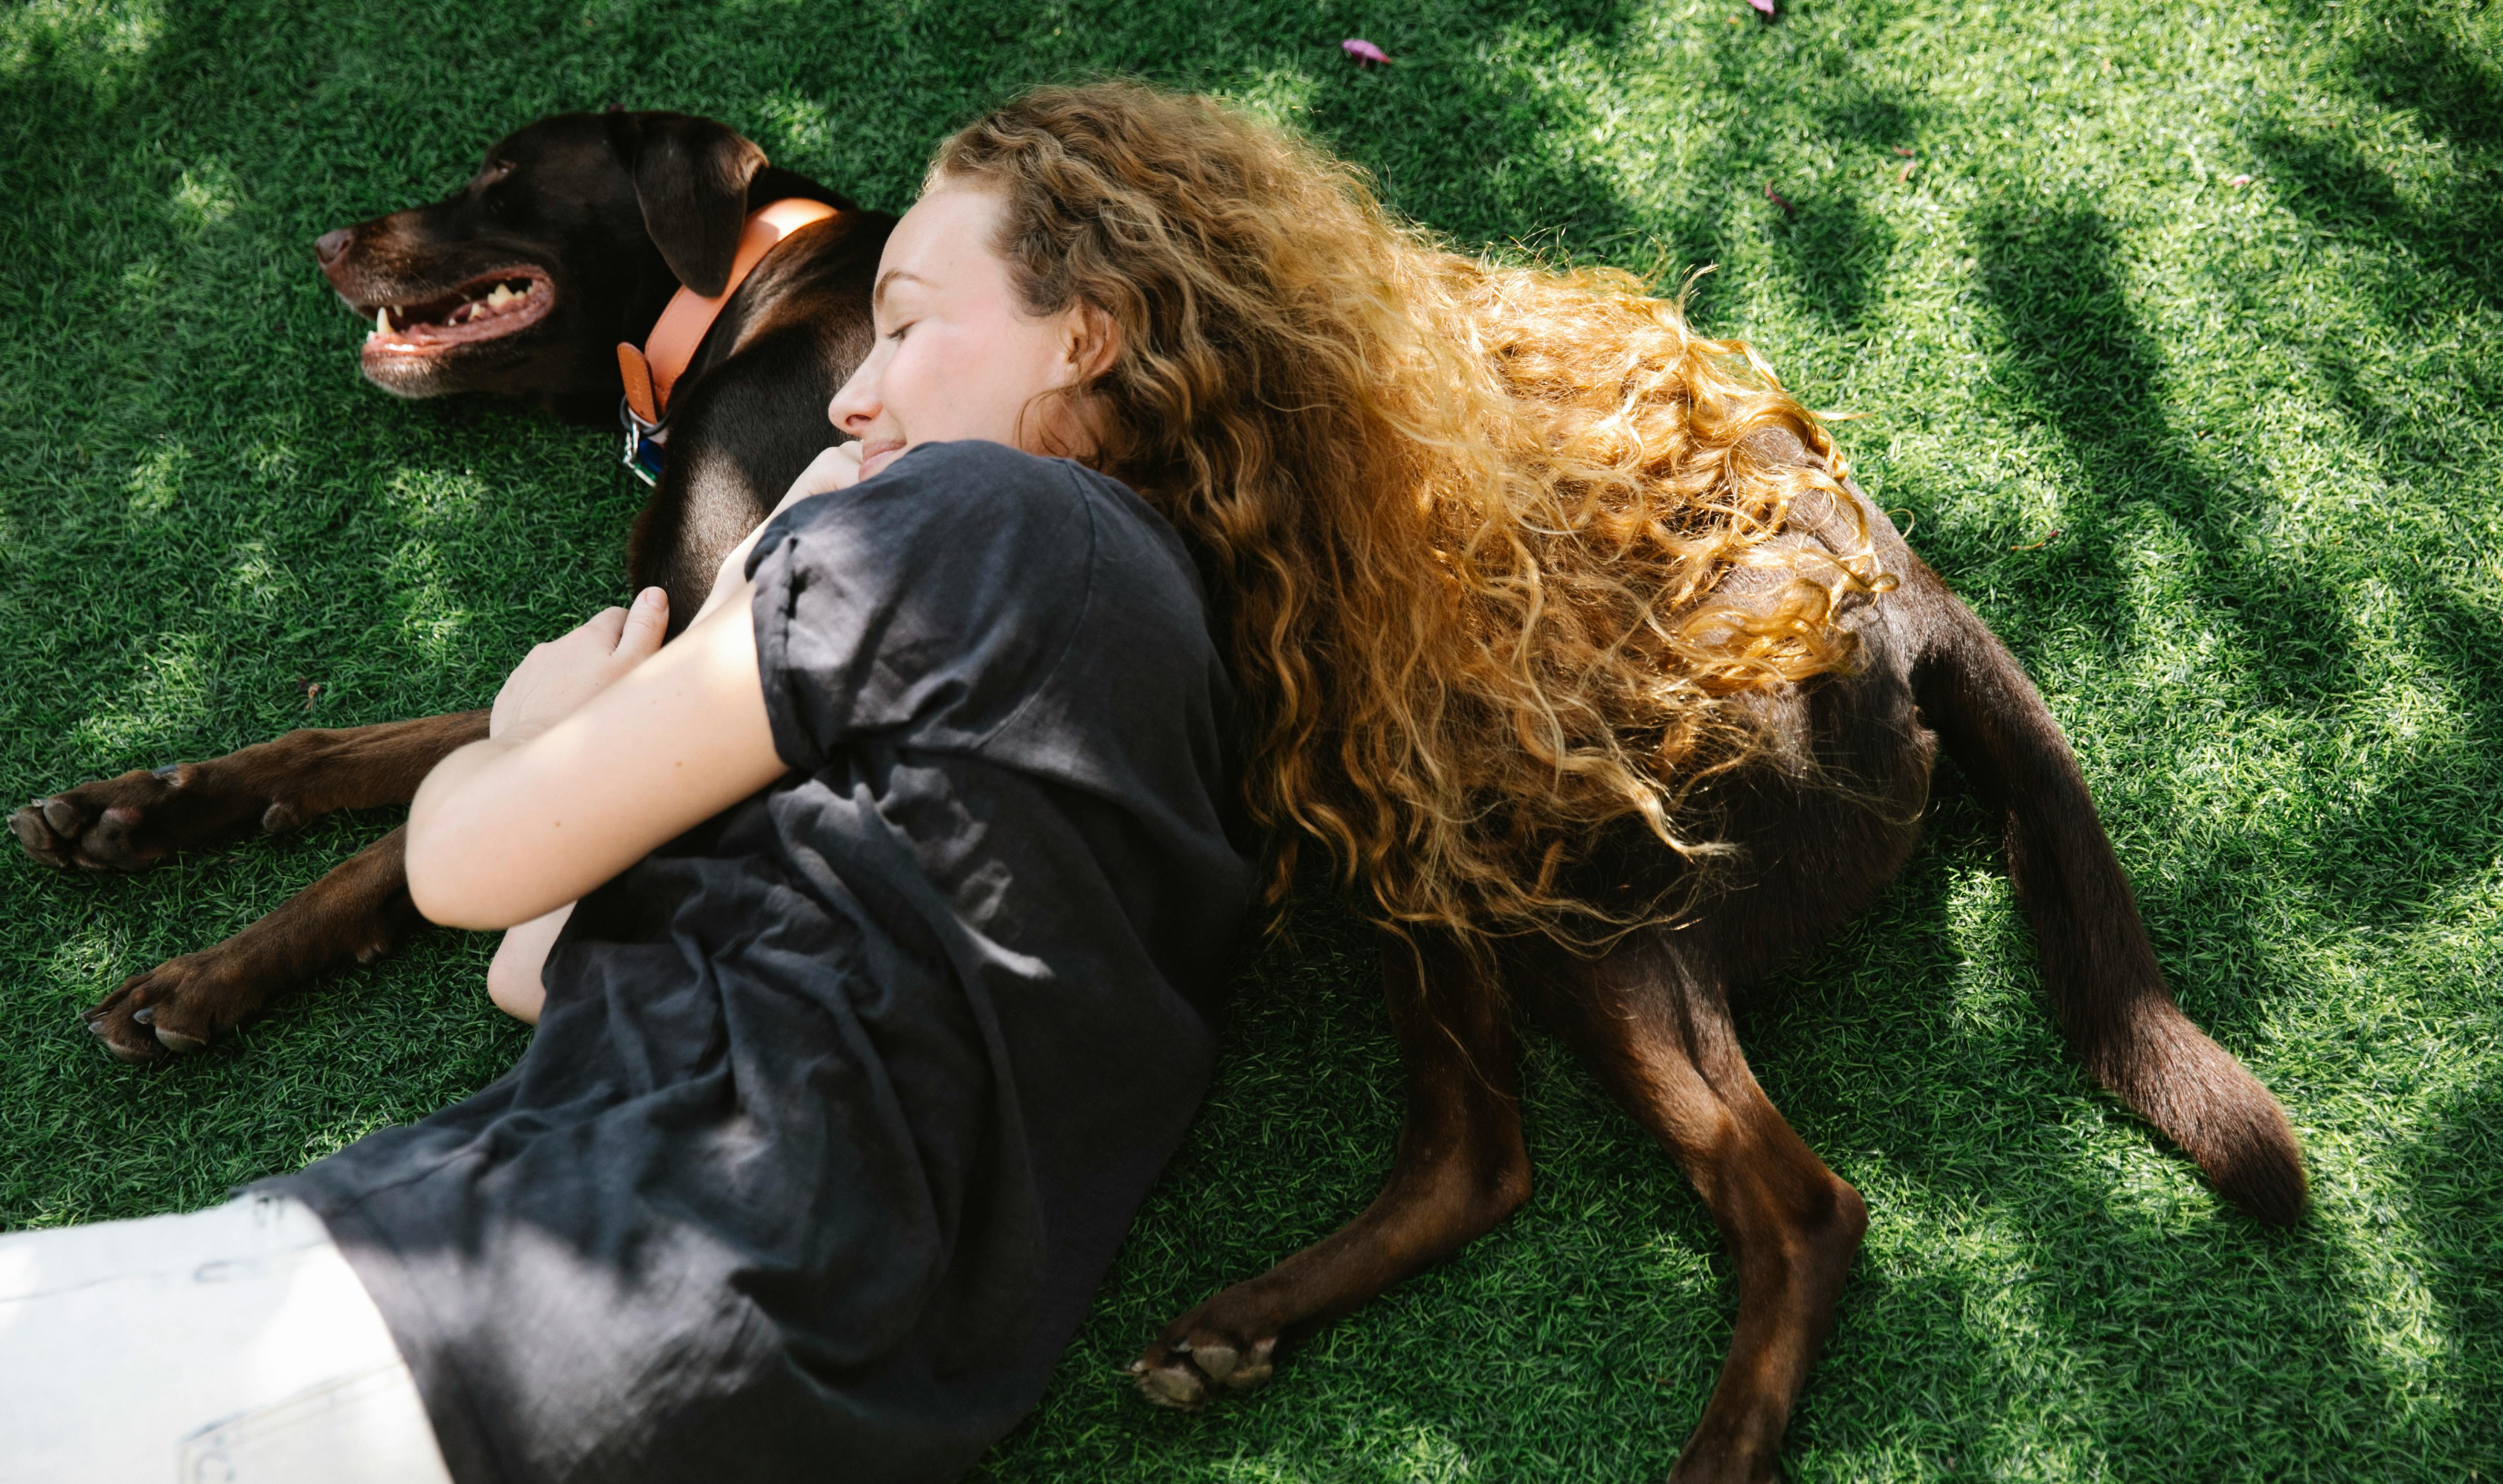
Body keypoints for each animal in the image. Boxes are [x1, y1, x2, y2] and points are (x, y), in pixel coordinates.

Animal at [14, 110, 2303, 1471]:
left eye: (507, 175)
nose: (328, 233)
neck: (764, 306)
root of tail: (1902, 592)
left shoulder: (706, 658)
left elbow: (421, 852)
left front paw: (197, 976)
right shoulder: (651, 645)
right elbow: (365, 765)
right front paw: (143, 822)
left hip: (1583, 899)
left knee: (1793, 1200)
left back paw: (1721, 1438)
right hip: (1434, 881)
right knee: (1484, 1154)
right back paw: (1250, 1325)